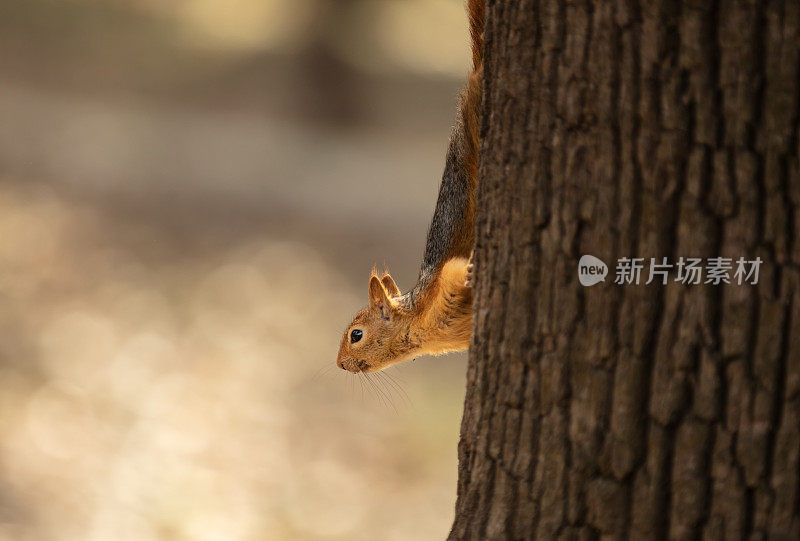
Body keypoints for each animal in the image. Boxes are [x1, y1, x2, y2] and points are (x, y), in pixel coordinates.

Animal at [336, 0, 484, 372]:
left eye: (356, 335)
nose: (340, 364)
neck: (421, 329)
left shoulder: (440, 284)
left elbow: (455, 268)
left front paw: (472, 271)